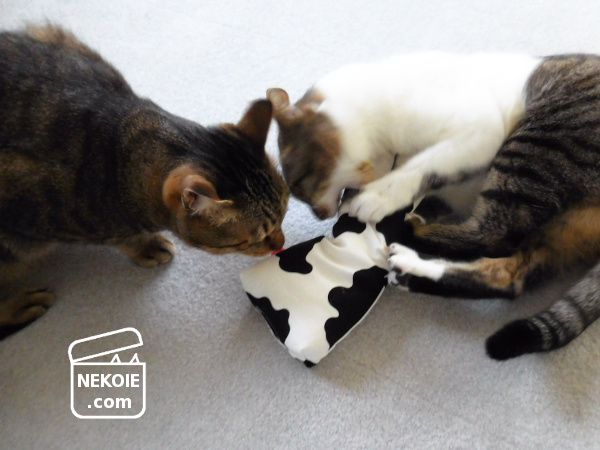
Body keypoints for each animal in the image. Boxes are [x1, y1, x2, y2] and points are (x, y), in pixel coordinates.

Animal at [387, 55, 600, 360]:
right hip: (564, 226)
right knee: (509, 277)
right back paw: (412, 273)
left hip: (533, 146)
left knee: (489, 236)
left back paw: (407, 238)